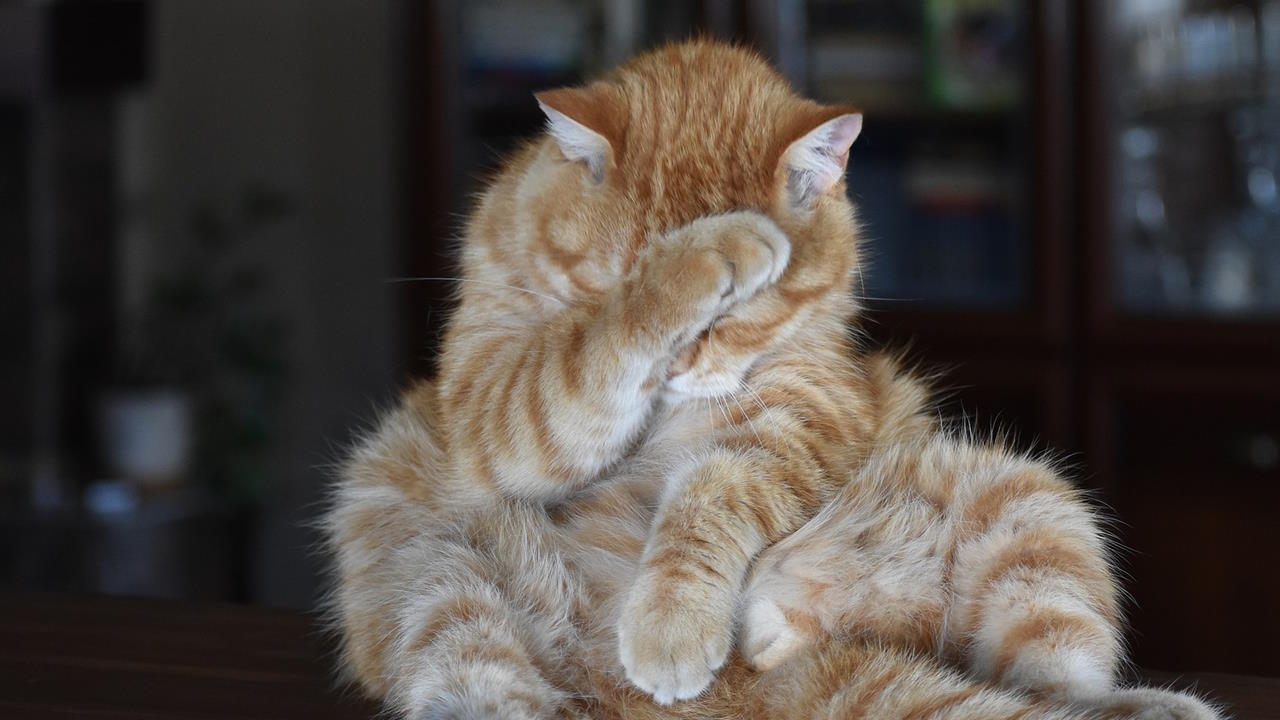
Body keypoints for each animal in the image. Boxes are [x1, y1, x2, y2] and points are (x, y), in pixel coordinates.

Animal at [322, 41, 1218, 712]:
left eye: (741, 313)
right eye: (614, 277)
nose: (679, 369)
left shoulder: (808, 408)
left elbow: (711, 494)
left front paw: (674, 620)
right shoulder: (490, 408)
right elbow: (591, 350)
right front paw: (705, 253)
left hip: (1031, 510)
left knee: (1054, 682)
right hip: (444, 590)